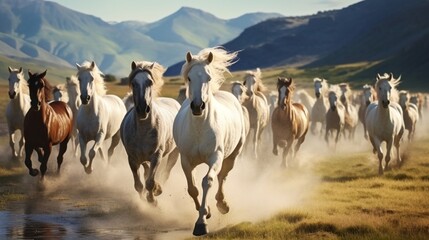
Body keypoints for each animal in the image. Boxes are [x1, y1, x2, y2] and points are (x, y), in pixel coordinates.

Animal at [119, 61, 180, 203]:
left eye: (150, 82)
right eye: (133, 83)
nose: (143, 109)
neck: (143, 130)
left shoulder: (156, 157)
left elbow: (150, 182)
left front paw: (153, 199)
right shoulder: (132, 159)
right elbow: (139, 185)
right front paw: (144, 199)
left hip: (174, 153)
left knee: (166, 172)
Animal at [171, 47, 244, 236]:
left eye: (208, 78)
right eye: (189, 78)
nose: (198, 106)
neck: (200, 128)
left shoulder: (215, 158)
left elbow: (207, 181)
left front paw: (201, 223)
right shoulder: (186, 161)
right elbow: (192, 188)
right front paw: (205, 212)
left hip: (232, 156)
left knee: (222, 176)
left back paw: (223, 204)